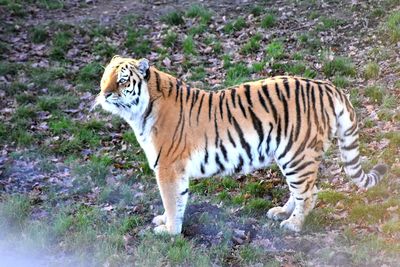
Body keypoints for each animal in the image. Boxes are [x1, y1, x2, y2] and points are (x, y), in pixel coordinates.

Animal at [94, 56, 388, 234]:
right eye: (105, 77)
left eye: (122, 80)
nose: (104, 94)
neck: (139, 112)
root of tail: (327, 85)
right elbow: (176, 201)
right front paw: (166, 224)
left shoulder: (167, 167)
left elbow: (171, 200)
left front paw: (169, 231)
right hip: (292, 157)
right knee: (304, 191)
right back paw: (281, 212)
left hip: (297, 156)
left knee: (309, 193)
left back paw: (292, 225)